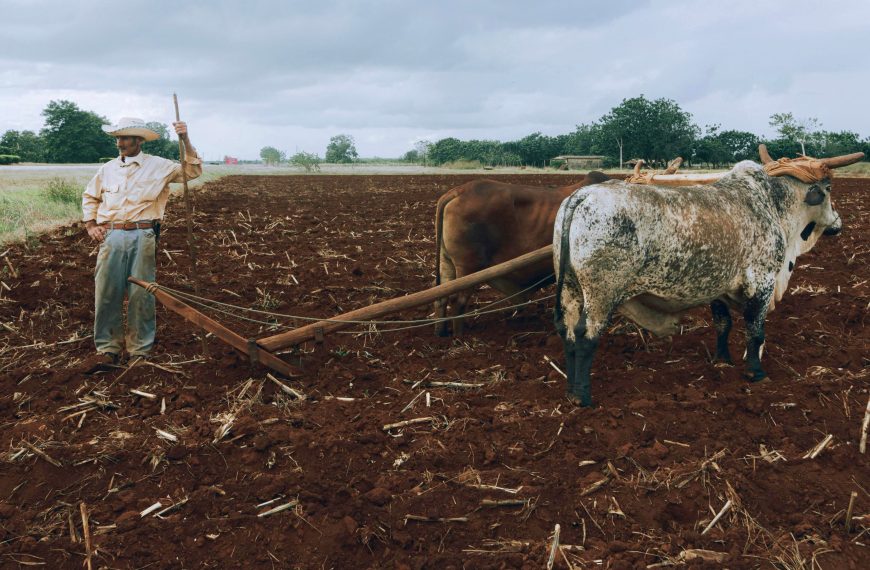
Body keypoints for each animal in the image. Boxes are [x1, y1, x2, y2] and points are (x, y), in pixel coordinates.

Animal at [434, 172, 609, 336]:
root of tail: (459, 191)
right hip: (468, 267)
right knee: (458, 300)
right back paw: (459, 335)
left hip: (447, 263)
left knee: (442, 297)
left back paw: (441, 332)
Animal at [553, 145, 864, 406]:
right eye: (829, 187)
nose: (838, 223)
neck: (772, 205)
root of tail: (581, 196)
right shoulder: (761, 282)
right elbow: (755, 331)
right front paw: (755, 372)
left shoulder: (719, 288)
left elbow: (723, 324)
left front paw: (722, 360)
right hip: (601, 294)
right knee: (586, 335)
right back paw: (582, 396)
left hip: (569, 288)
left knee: (567, 331)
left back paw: (569, 390)